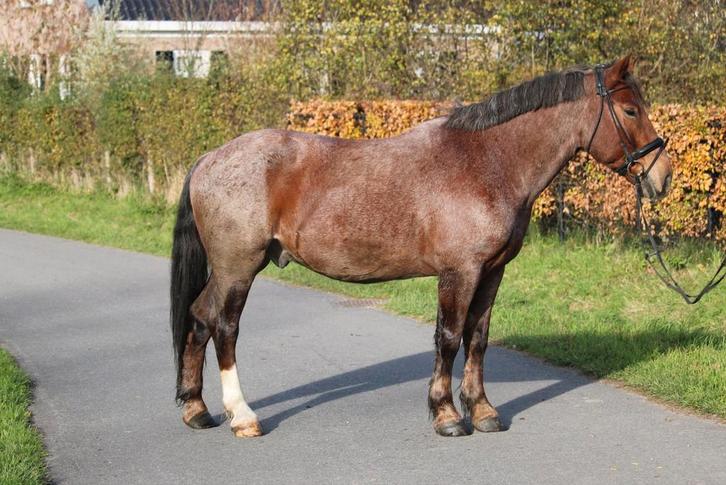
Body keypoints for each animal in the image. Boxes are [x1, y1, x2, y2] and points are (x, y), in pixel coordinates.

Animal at [170, 56, 672, 438]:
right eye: (630, 110)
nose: (662, 176)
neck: (486, 162)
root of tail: (209, 158)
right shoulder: (459, 272)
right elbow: (448, 338)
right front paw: (447, 415)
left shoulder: (492, 272)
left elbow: (477, 338)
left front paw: (483, 412)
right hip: (238, 269)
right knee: (225, 327)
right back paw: (242, 416)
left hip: (227, 271)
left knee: (197, 319)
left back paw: (197, 410)